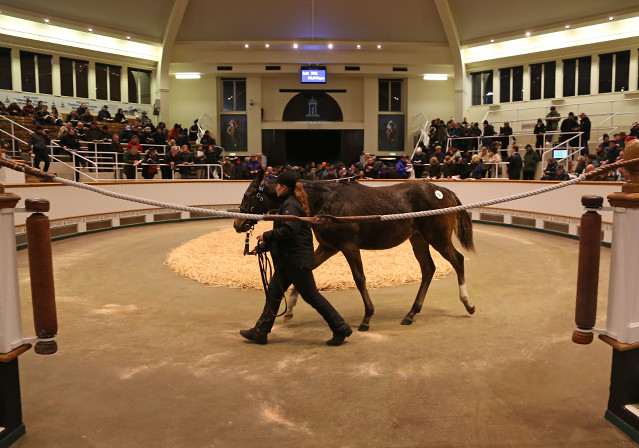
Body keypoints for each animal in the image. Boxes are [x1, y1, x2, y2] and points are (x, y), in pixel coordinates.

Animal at [235, 173, 476, 330]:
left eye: (248, 195)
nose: (237, 224)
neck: (325, 202)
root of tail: (443, 191)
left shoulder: (349, 247)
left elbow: (359, 278)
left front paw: (367, 317)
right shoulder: (329, 247)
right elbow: (307, 269)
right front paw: (291, 308)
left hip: (438, 239)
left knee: (458, 260)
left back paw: (468, 303)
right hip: (418, 240)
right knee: (428, 269)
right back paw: (411, 314)